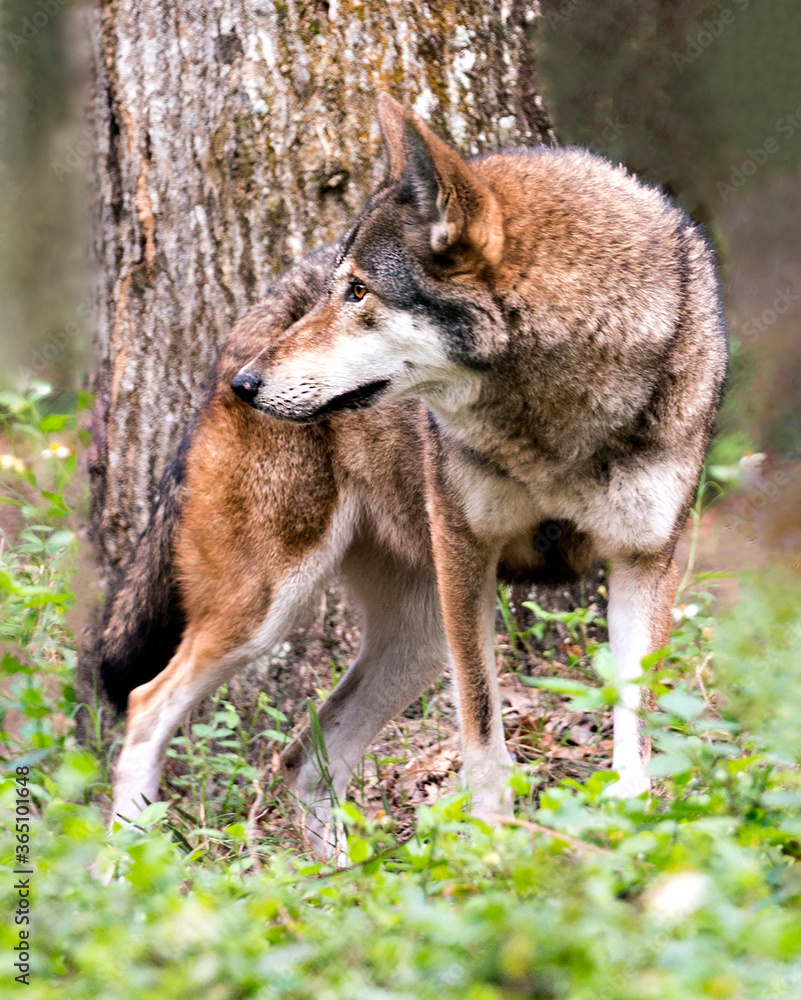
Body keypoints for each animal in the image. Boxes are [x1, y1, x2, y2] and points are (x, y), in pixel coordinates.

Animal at [102, 95, 727, 857]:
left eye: (358, 292)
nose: (249, 386)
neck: (553, 423)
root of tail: (247, 323)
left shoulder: (644, 564)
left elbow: (633, 737)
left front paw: (634, 841)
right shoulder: (465, 553)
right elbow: (483, 735)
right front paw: (495, 848)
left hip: (416, 641)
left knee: (304, 762)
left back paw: (339, 879)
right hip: (269, 607)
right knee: (146, 707)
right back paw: (125, 868)